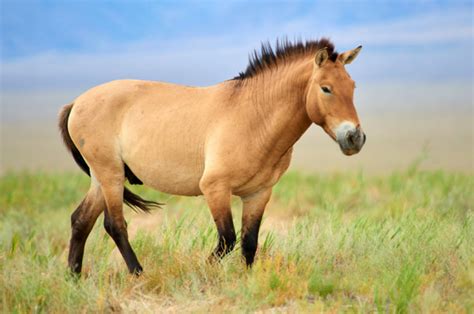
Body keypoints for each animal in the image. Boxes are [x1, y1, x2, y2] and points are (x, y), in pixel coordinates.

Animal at [57, 38, 364, 274]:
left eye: (352, 86)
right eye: (326, 88)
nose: (355, 137)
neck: (254, 116)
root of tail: (76, 102)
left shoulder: (258, 194)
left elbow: (249, 243)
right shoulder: (216, 189)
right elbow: (227, 240)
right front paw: (202, 272)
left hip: (102, 177)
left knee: (80, 220)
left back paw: (74, 277)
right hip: (111, 175)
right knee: (115, 224)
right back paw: (137, 273)